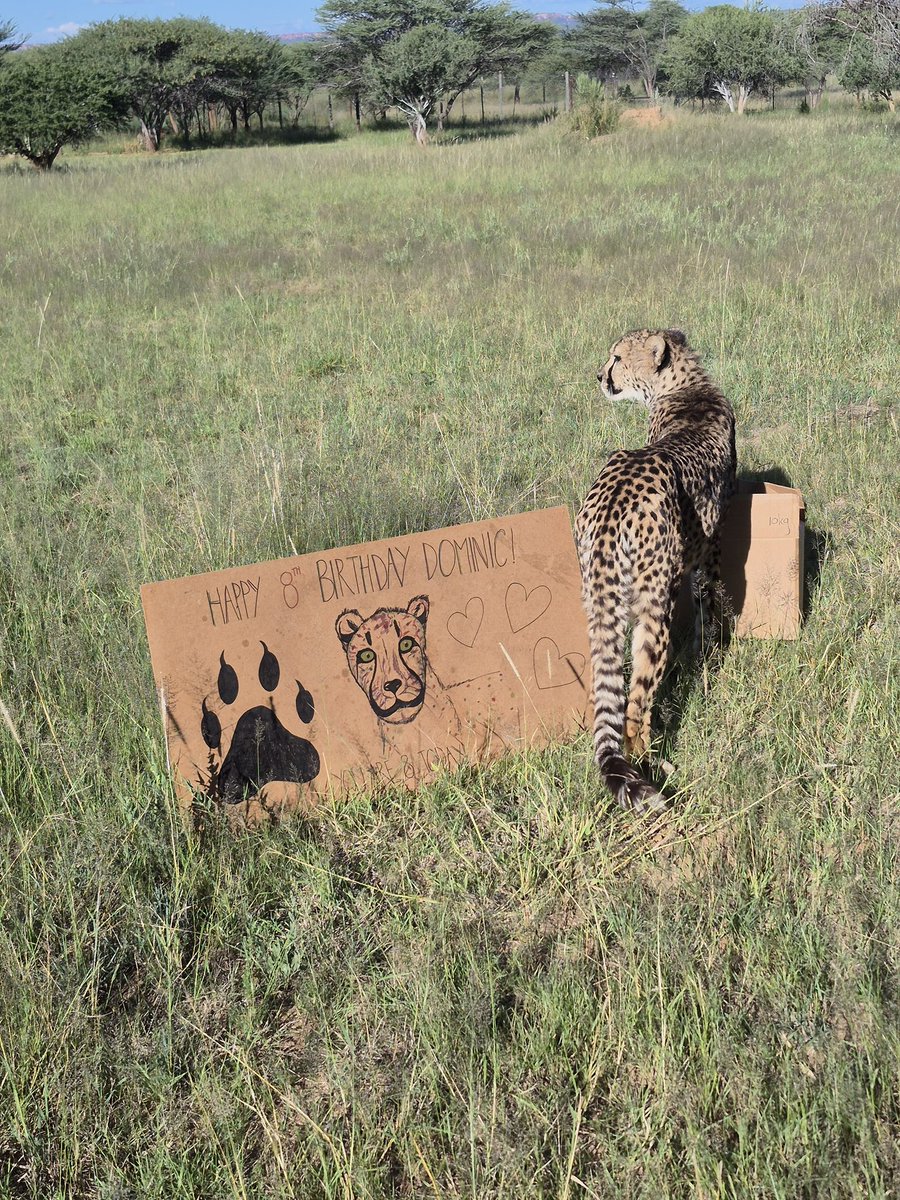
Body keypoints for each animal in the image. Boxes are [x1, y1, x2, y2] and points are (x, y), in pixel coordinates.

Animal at [574, 328, 736, 814]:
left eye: (617, 358)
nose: (599, 376)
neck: (683, 384)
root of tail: (613, 503)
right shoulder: (710, 545)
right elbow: (708, 601)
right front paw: (711, 650)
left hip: (596, 602)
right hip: (653, 609)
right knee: (634, 704)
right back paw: (652, 764)